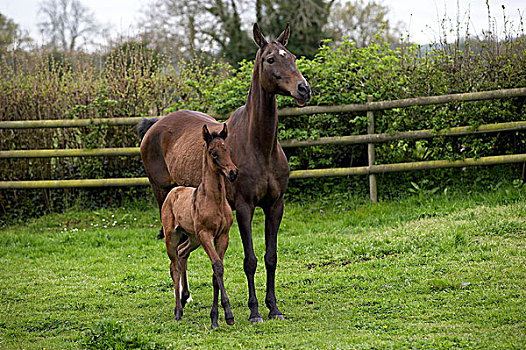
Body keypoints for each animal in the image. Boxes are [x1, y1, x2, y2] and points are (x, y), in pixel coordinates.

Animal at [162, 123, 240, 328]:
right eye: (213, 153)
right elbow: (217, 266)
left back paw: (182, 302)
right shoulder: (206, 235)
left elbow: (217, 270)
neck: (215, 200)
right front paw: (227, 315)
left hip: (193, 238)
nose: (233, 172)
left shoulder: (223, 236)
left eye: (228, 150)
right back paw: (178, 312)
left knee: (182, 252)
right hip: (172, 236)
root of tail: (173, 191)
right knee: (174, 266)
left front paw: (216, 317)